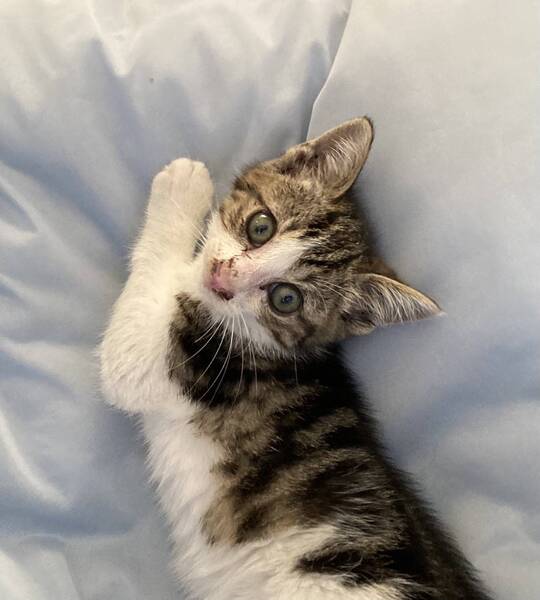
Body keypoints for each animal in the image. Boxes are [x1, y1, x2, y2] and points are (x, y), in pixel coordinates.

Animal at [99, 118, 493, 600]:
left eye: (285, 298)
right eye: (261, 227)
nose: (223, 278)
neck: (256, 337)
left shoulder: (184, 360)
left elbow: (136, 332)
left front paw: (183, 184)